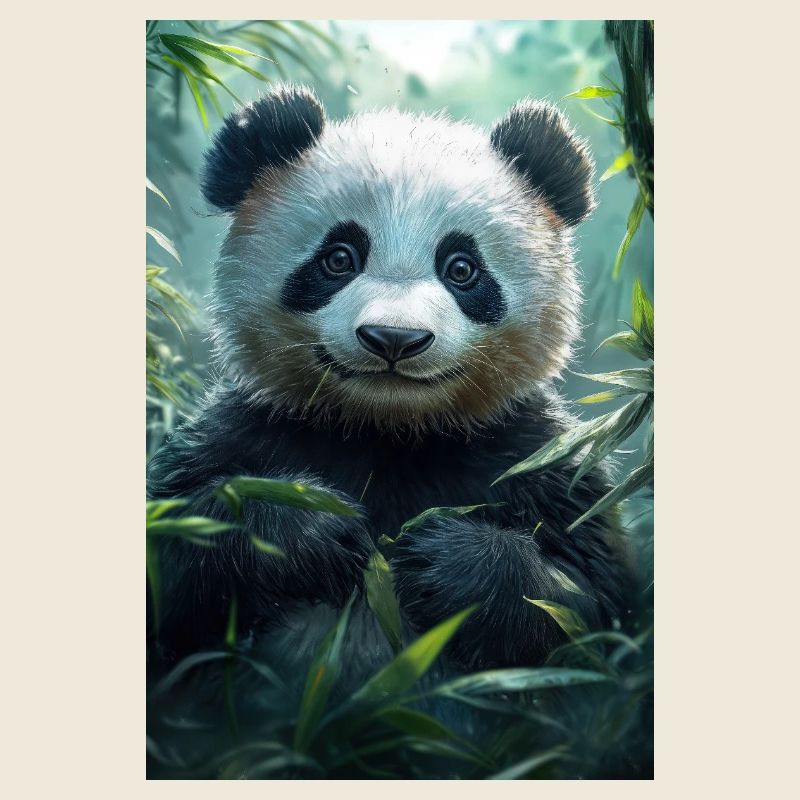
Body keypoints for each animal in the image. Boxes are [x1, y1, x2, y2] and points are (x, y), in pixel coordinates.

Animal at [147, 83, 633, 683]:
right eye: (338, 258)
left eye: (462, 269)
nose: (394, 338)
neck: (388, 429)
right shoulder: (247, 430)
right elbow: (173, 554)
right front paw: (317, 530)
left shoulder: (534, 456)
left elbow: (591, 601)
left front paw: (439, 559)